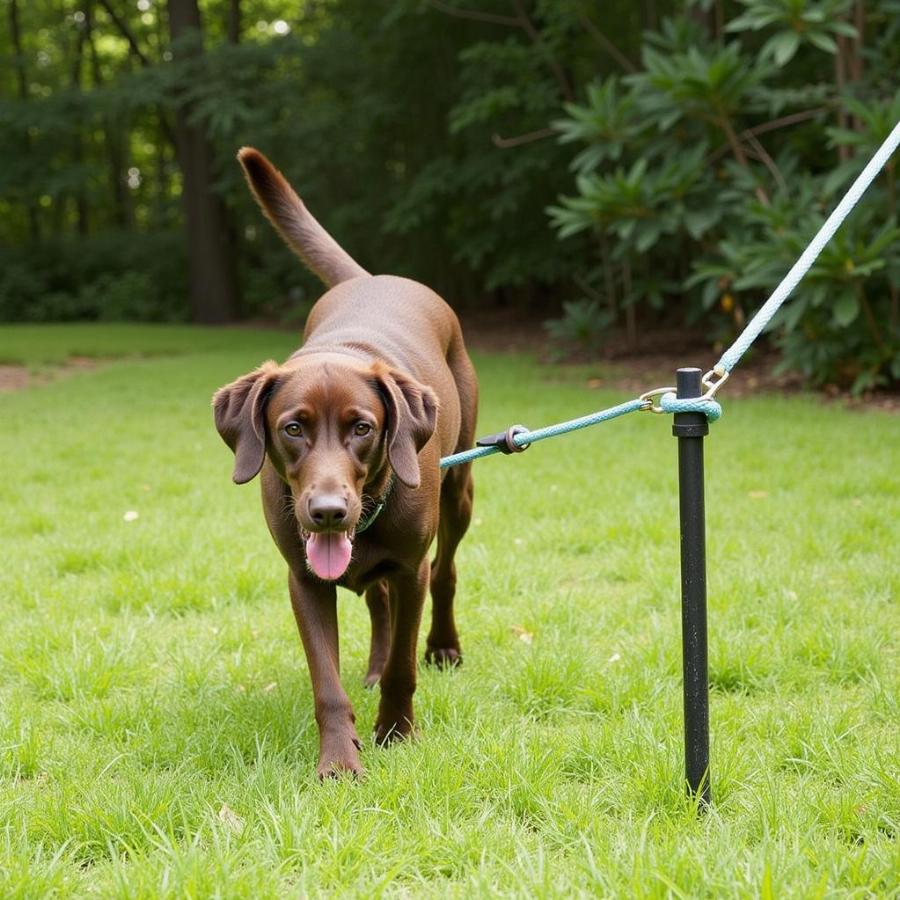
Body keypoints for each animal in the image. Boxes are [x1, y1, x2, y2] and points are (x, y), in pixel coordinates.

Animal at [212, 151, 478, 776]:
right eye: (292, 428)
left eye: (363, 428)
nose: (330, 511)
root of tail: (370, 279)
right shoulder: (304, 579)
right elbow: (327, 684)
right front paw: (338, 760)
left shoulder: (410, 569)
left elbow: (405, 662)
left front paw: (396, 734)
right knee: (377, 601)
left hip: (460, 490)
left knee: (446, 572)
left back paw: (443, 647)